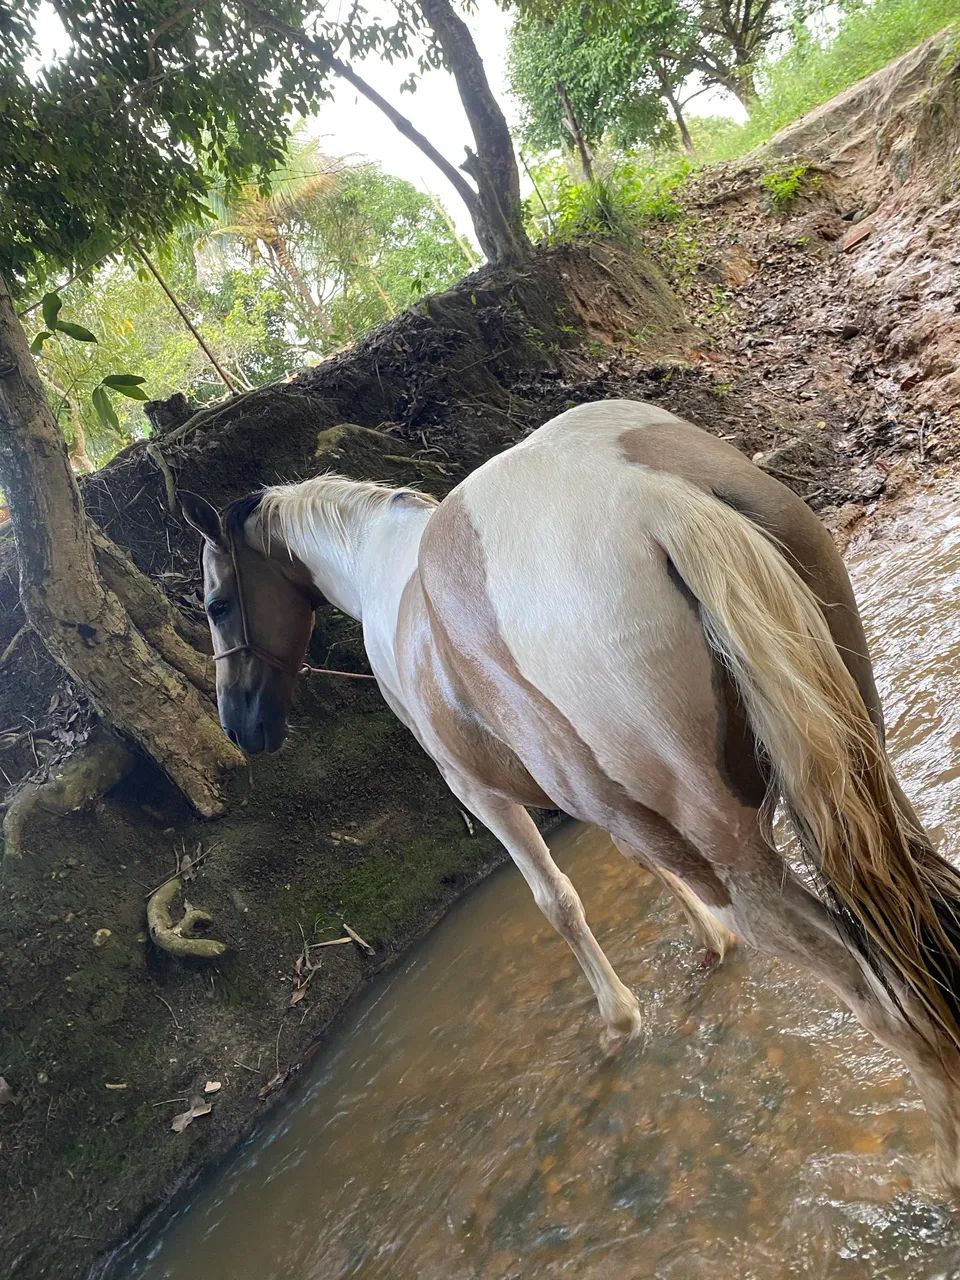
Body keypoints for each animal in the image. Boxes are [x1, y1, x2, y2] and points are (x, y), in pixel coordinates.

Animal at [182, 398, 960, 1189]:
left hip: (730, 852)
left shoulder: (476, 789)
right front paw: (709, 944)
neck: (383, 575)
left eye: (215, 604)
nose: (240, 725)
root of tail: (647, 498)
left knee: (875, 994)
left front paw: (620, 1019)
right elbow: (634, 864)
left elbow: (556, 900)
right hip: (857, 755)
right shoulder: (603, 801)